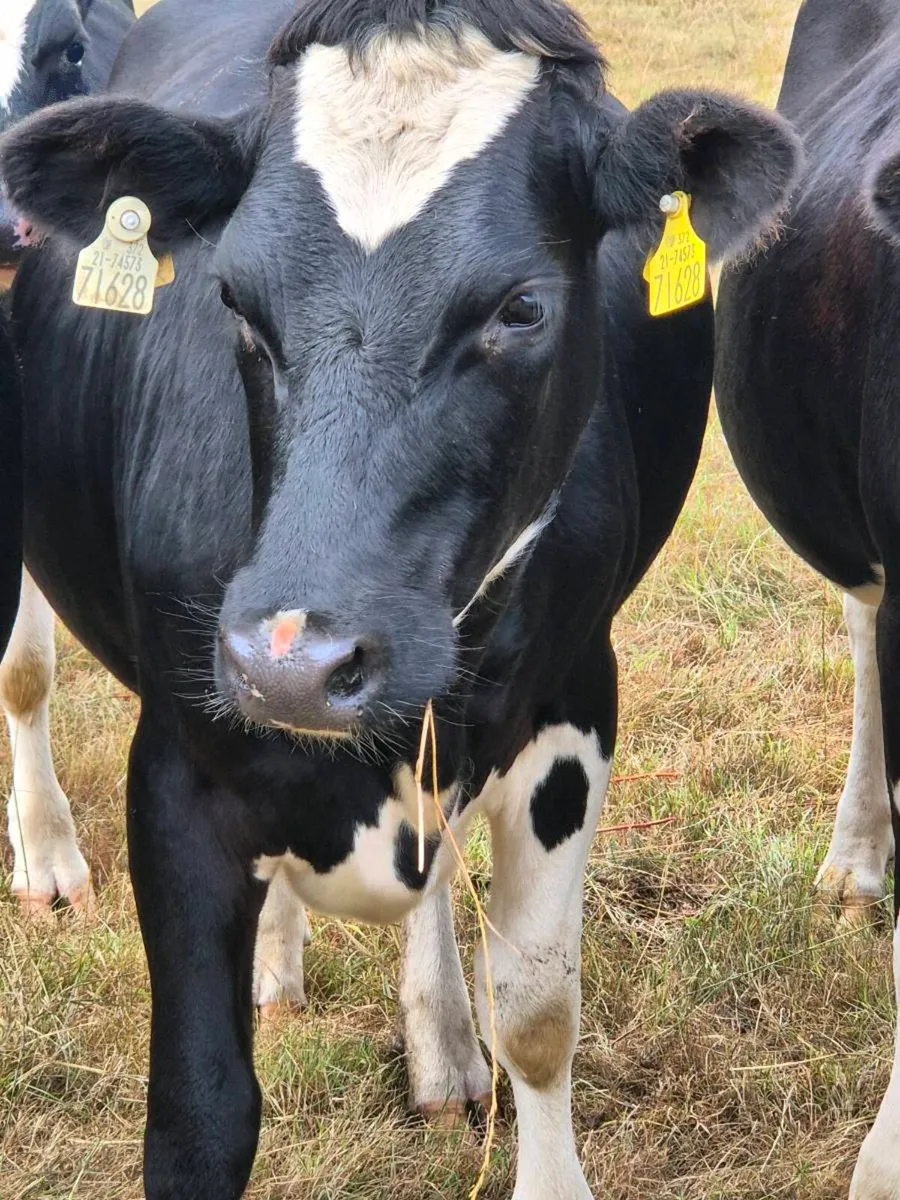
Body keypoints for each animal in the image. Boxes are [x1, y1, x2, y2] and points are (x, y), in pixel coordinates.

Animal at [0, 0, 799, 1194]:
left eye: (522, 307)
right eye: (232, 297)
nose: (292, 665)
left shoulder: (575, 703)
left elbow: (538, 1018)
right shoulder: (181, 763)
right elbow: (198, 1112)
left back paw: (436, 1043)